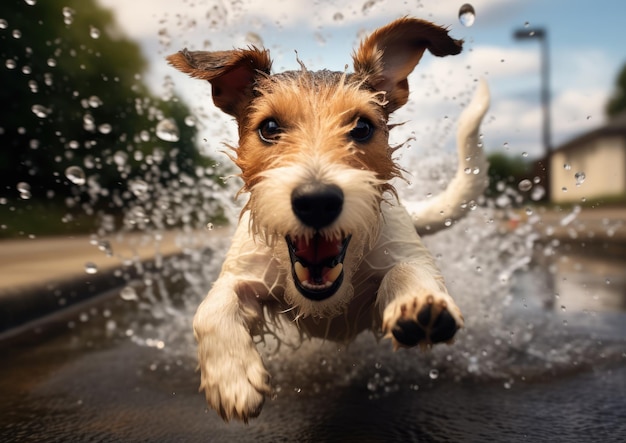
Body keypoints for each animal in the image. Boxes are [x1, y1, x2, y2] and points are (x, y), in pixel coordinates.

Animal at [168, 17, 490, 422]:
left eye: (362, 127)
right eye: (270, 128)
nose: (317, 201)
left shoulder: (400, 249)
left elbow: (408, 269)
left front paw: (421, 303)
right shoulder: (243, 269)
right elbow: (210, 308)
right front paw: (231, 378)